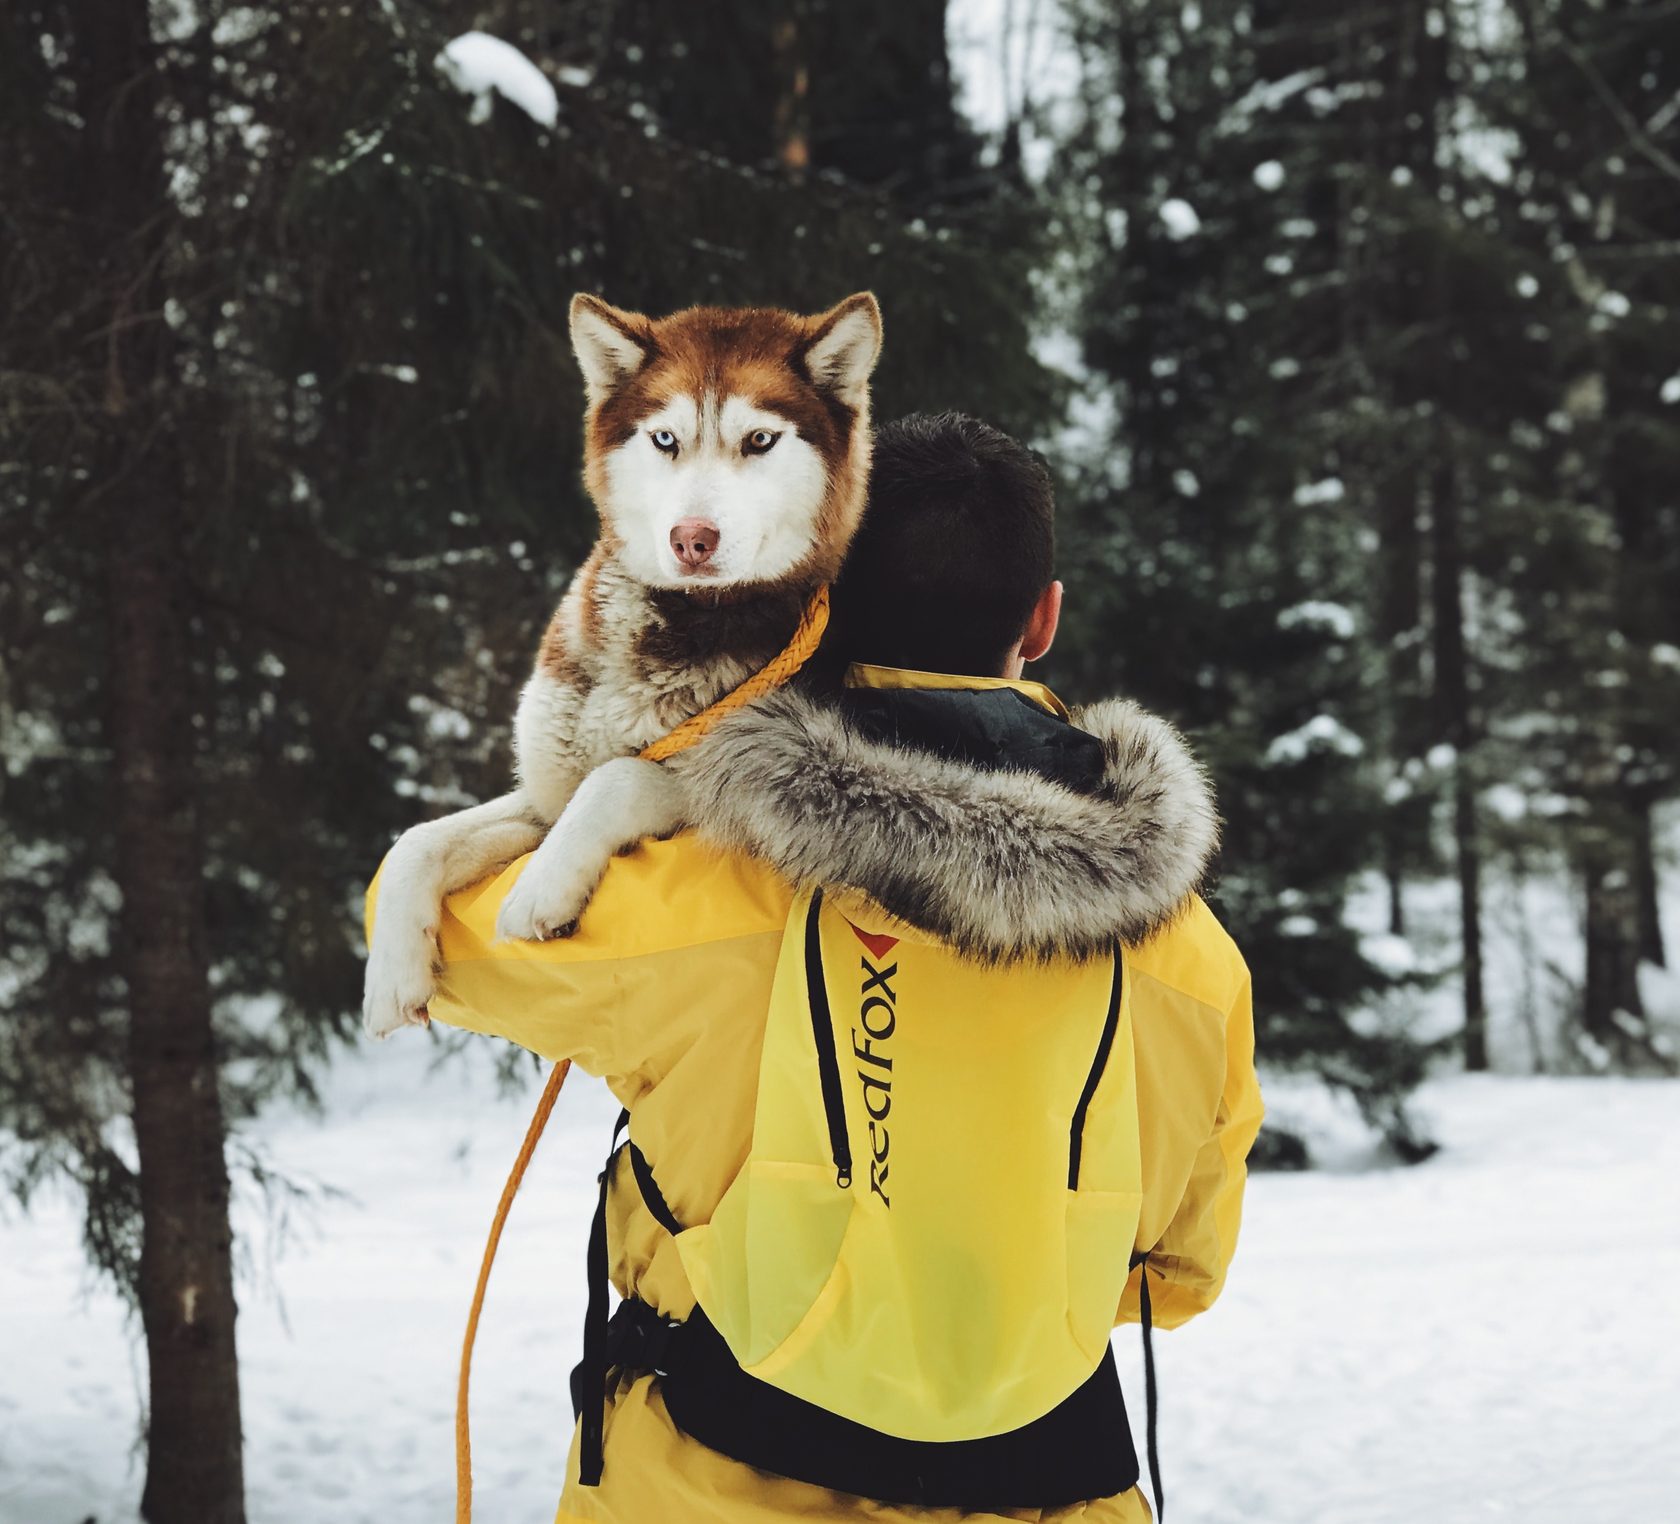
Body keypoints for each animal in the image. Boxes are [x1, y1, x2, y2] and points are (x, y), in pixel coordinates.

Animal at [362, 294, 887, 1041]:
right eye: (665, 439)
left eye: (760, 440)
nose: (692, 539)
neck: (664, 628)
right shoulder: (544, 798)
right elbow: (417, 840)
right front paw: (390, 977)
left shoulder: (739, 790)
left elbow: (617, 776)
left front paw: (541, 887)